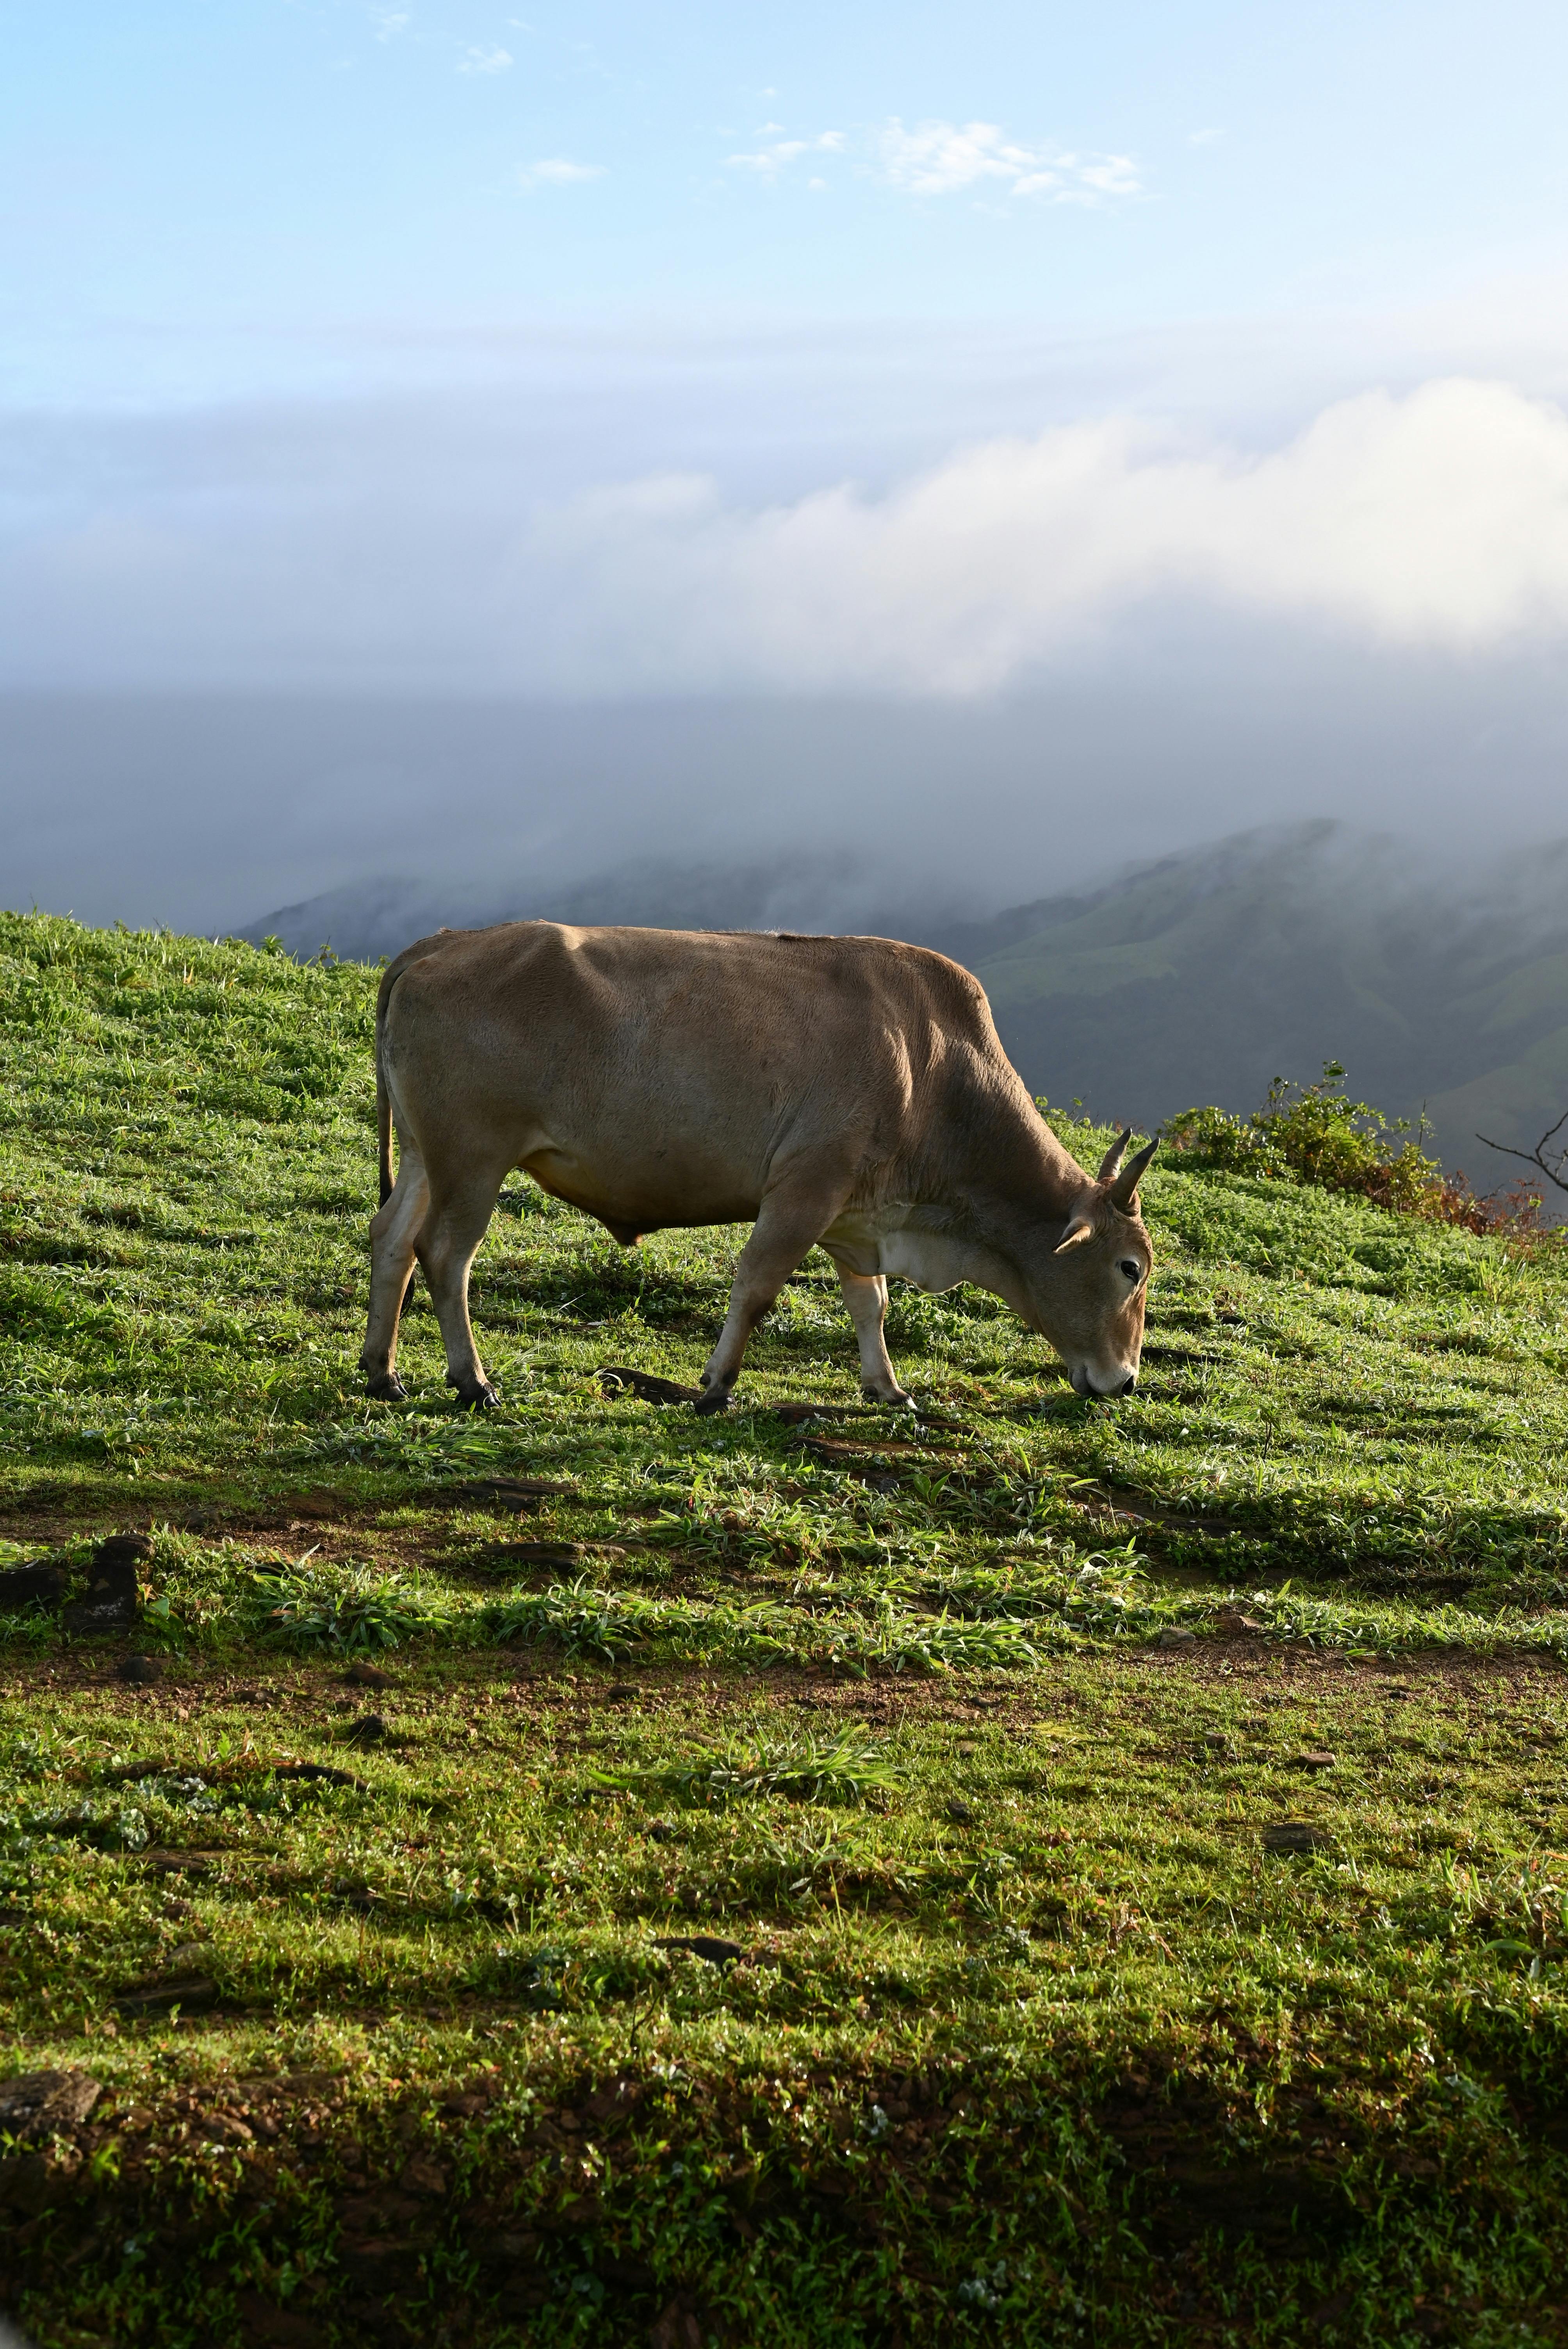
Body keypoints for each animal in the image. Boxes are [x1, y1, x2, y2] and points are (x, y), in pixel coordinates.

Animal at [359, 922, 1157, 1413]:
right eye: (1131, 1269)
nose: (1125, 1380)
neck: (933, 1068)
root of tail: (442, 942)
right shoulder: (805, 1190)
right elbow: (757, 1285)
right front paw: (716, 1386)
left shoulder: (855, 1213)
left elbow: (871, 1303)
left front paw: (888, 1388)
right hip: (474, 1156)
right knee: (445, 1253)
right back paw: (472, 1382)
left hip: (428, 1156)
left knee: (392, 1238)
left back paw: (382, 1373)